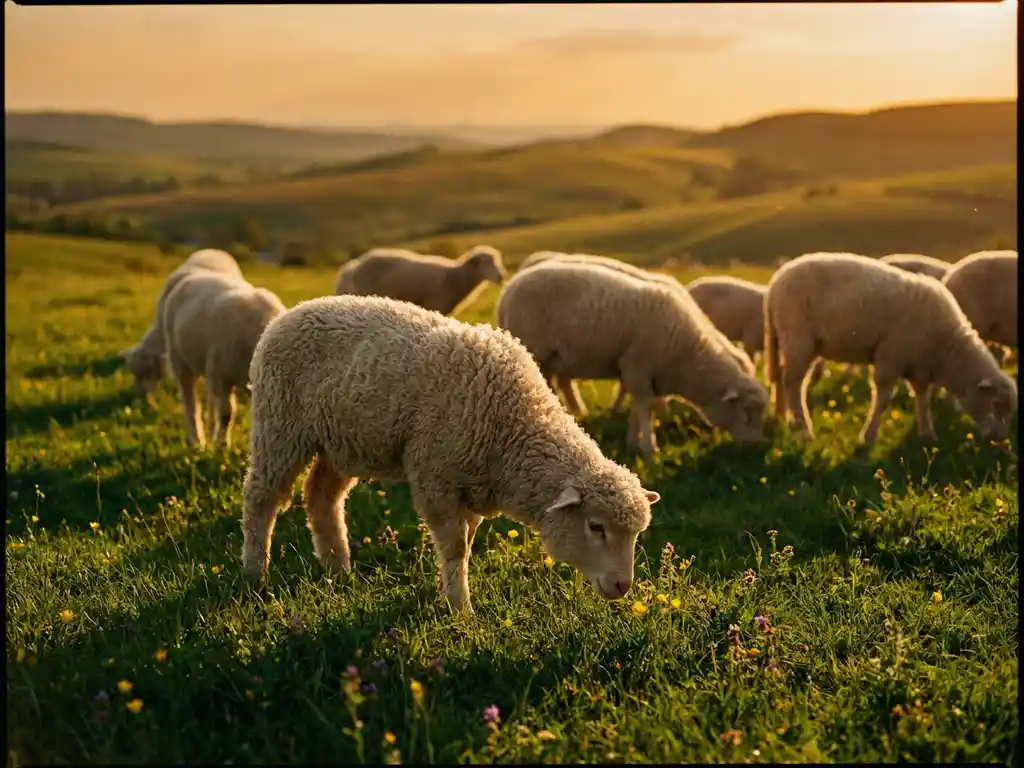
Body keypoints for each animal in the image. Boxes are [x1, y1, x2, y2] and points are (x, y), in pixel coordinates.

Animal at [161, 270, 285, 447]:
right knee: (190, 402)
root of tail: (193, 274)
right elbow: (227, 413)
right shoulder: (221, 377)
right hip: (180, 361)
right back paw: (197, 440)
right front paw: (222, 444)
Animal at [240, 294, 661, 614]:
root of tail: (293, 311)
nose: (622, 586)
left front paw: (451, 594)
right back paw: (255, 574)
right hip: (280, 425)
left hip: (341, 443)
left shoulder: (470, 486)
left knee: (321, 499)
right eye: (596, 527)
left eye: (637, 534)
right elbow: (456, 548)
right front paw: (462, 610)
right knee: (261, 498)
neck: (514, 425)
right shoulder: (436, 477)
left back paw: (338, 571)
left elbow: (467, 544)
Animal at [764, 252, 1017, 445]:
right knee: (793, 382)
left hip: (795, 340)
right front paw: (868, 437)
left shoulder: (918, 366)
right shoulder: (890, 357)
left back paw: (780, 416)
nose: (1000, 439)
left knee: (781, 378)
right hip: (798, 338)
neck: (947, 351)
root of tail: (776, 282)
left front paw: (927, 434)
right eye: (996, 405)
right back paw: (804, 429)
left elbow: (922, 397)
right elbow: (884, 399)